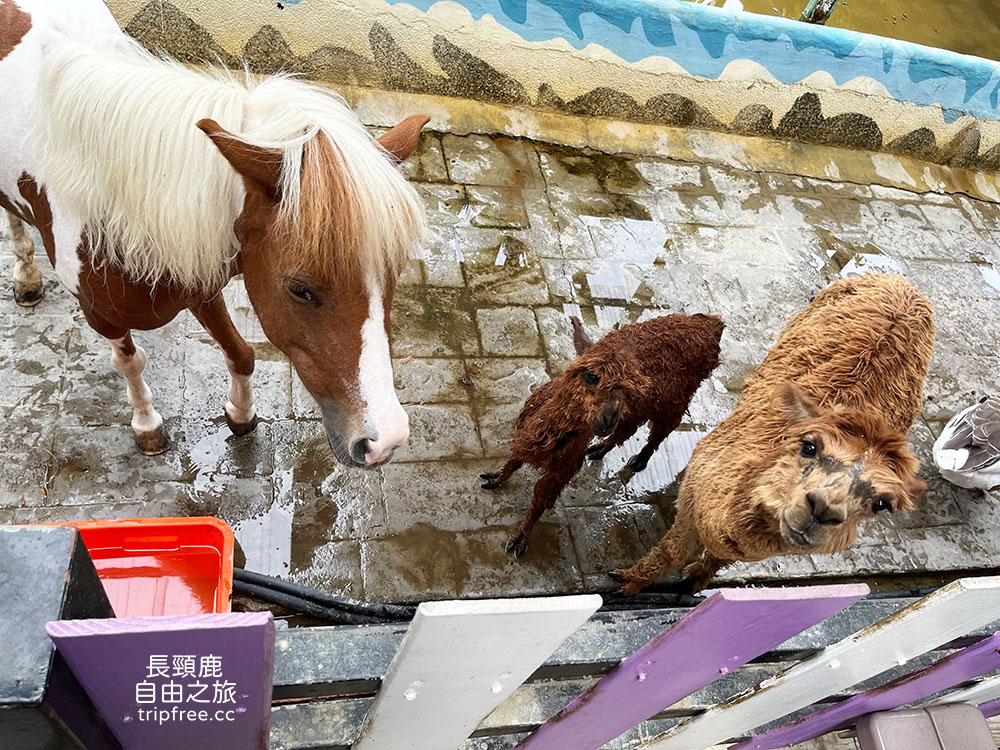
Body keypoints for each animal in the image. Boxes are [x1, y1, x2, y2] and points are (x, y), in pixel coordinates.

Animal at [0, 0, 428, 468]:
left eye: (392, 276)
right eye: (300, 290)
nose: (385, 441)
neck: (114, 198)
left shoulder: (200, 277)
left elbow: (241, 353)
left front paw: (240, 413)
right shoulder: (102, 316)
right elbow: (130, 363)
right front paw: (147, 424)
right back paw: (25, 273)